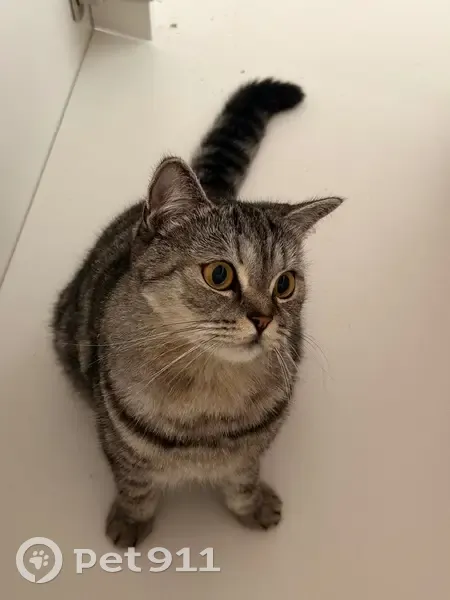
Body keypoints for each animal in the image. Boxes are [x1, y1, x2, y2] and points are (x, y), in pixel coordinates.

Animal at [52, 78, 343, 547]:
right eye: (219, 274)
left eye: (285, 284)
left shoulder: (251, 451)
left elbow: (242, 479)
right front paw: (131, 521)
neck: (208, 393)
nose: (264, 319)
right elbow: (136, 487)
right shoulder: (119, 443)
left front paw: (252, 506)